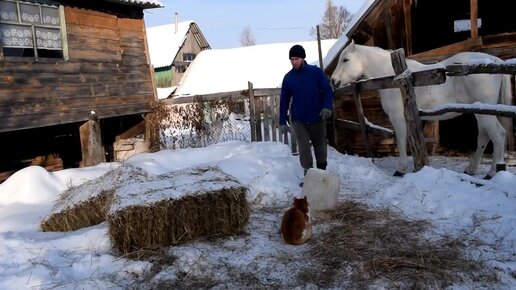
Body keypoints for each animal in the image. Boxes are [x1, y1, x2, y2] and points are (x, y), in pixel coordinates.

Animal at [330, 40, 512, 177]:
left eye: (345, 59)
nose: (333, 81)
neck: (394, 79)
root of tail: (495, 62)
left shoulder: (398, 117)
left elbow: (401, 141)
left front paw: (401, 169)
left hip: (484, 113)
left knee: (498, 135)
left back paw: (492, 173)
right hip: (481, 112)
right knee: (484, 137)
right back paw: (472, 169)